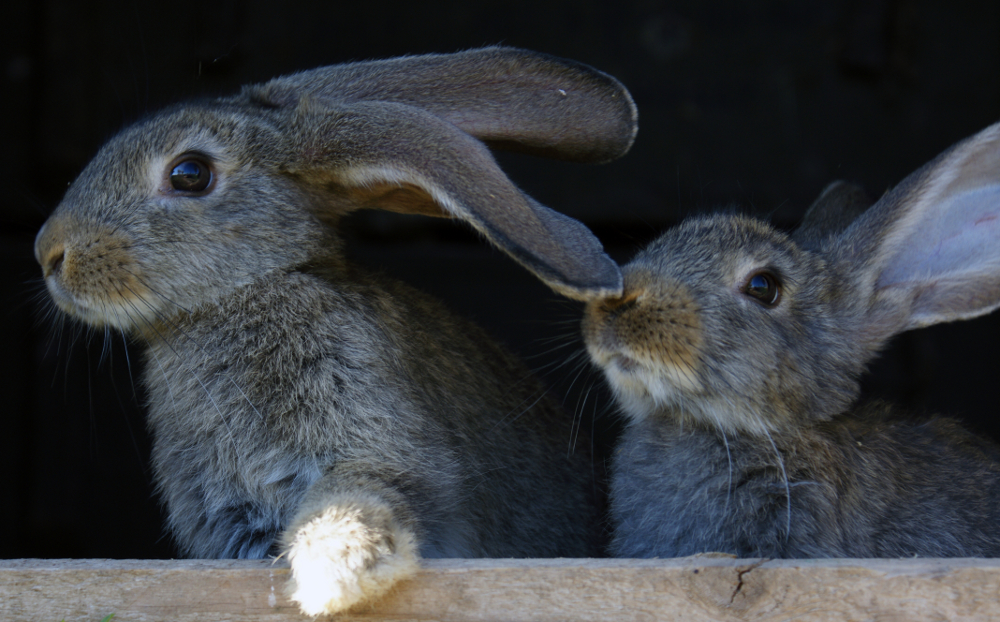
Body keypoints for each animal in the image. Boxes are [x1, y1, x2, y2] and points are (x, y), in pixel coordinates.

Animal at [37, 47, 640, 616]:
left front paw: (335, 576)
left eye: (190, 173)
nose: (48, 253)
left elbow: (359, 496)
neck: (246, 291)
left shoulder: (377, 443)